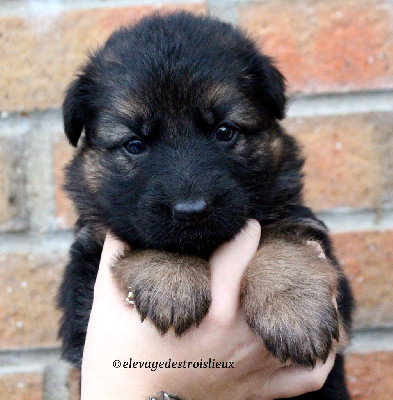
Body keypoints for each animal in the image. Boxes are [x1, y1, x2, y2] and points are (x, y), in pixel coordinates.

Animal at [57, 10, 352, 398]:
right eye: (135, 144)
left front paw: (294, 309)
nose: (191, 212)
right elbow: (151, 240)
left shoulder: (298, 220)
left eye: (224, 131)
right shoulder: (83, 284)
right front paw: (171, 277)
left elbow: (285, 239)